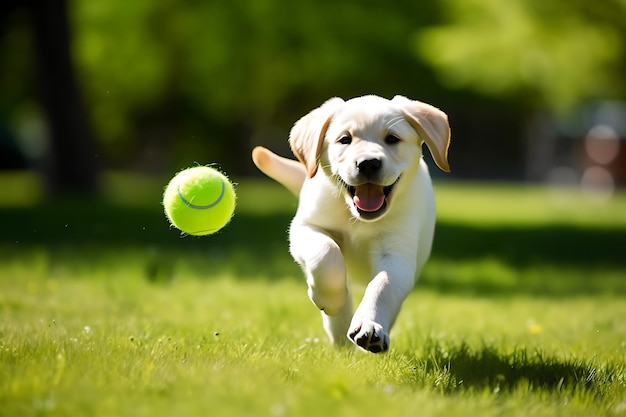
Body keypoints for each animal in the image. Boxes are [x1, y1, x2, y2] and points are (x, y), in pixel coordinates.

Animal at [249, 94, 448, 352]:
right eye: (345, 139)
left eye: (392, 139)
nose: (368, 163)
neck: (358, 218)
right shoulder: (305, 228)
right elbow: (327, 253)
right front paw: (331, 300)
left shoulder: (397, 255)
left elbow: (382, 286)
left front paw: (370, 326)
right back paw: (341, 338)